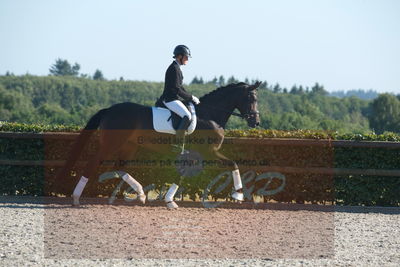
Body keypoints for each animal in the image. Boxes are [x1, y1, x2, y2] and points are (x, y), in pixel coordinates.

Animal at [57, 81, 262, 209]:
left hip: (130, 145)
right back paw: (76, 197)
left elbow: (184, 173)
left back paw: (140, 195)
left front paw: (170, 201)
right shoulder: (208, 151)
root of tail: (109, 109)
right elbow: (232, 164)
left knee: (120, 167)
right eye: (251, 99)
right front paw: (238, 196)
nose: (256, 122)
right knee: (93, 164)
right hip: (112, 144)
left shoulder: (197, 154)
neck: (209, 115)